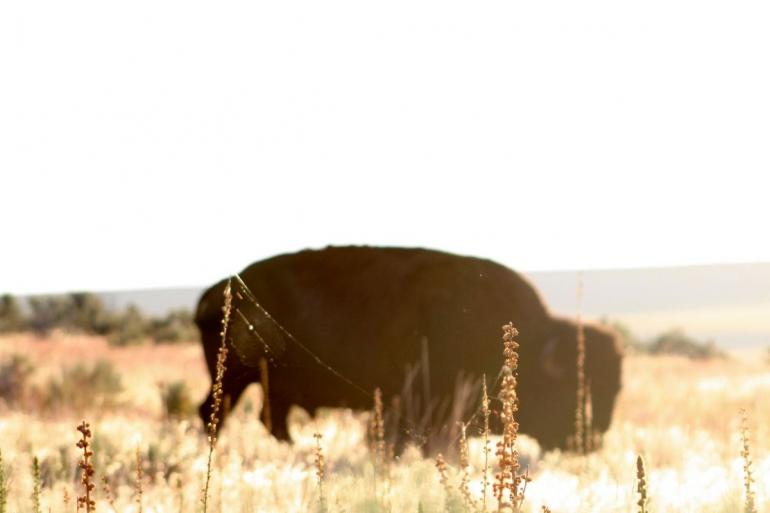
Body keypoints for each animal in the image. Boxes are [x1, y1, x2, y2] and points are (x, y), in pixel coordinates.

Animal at [196, 246, 623, 451]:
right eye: (570, 391)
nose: (587, 444)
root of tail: (214, 293)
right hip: (233, 379)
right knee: (216, 413)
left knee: (268, 420)